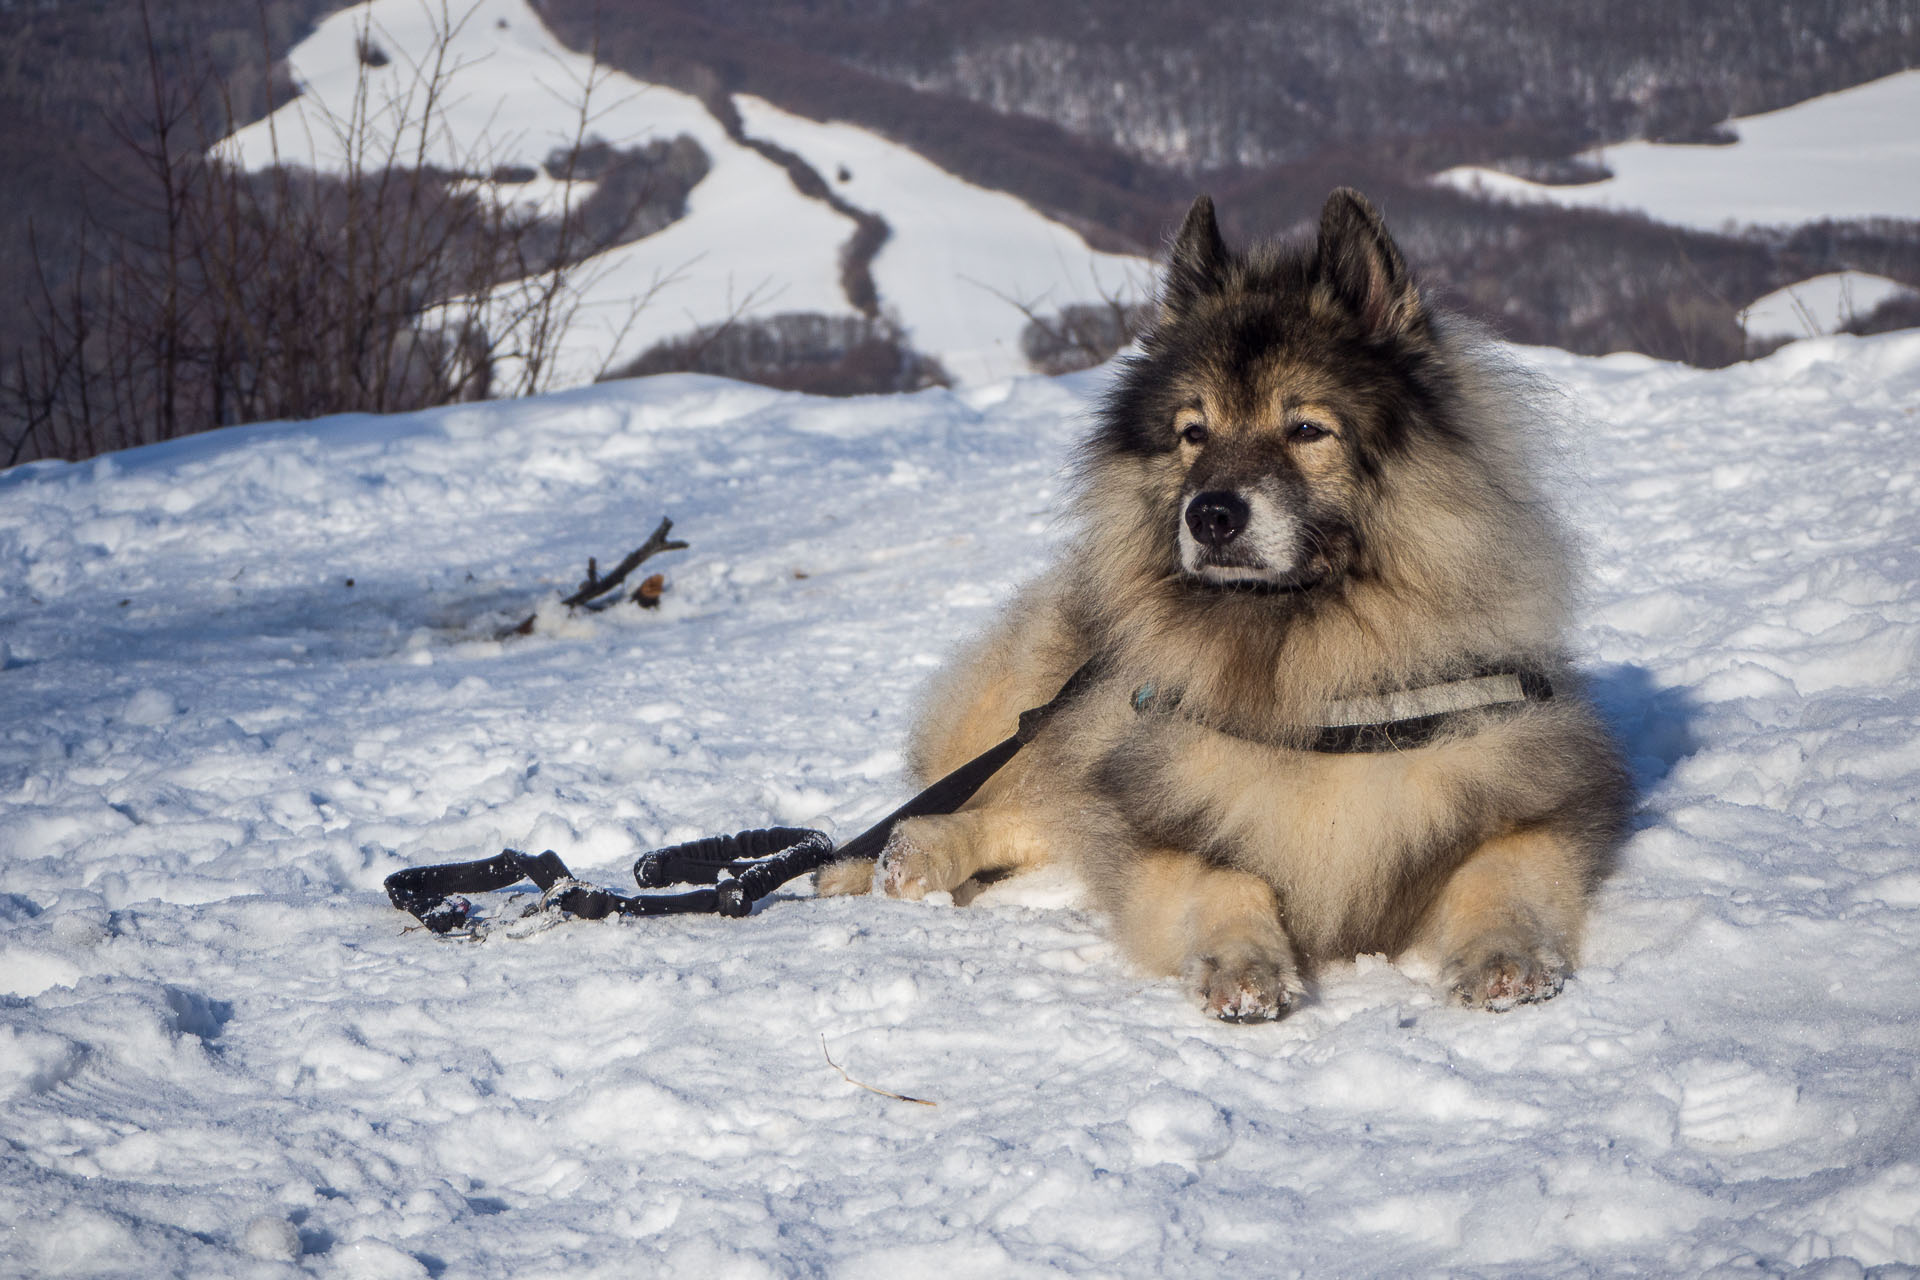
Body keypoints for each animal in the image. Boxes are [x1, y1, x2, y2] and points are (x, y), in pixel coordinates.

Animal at [817, 189, 1628, 1028]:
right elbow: (1224, 878)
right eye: (1193, 434)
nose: (1209, 514)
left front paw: (1503, 960)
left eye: (1306, 428)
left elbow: (1494, 873)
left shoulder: (1536, 801)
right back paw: (901, 857)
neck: (1309, 673)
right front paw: (1242, 965)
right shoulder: (1156, 814)